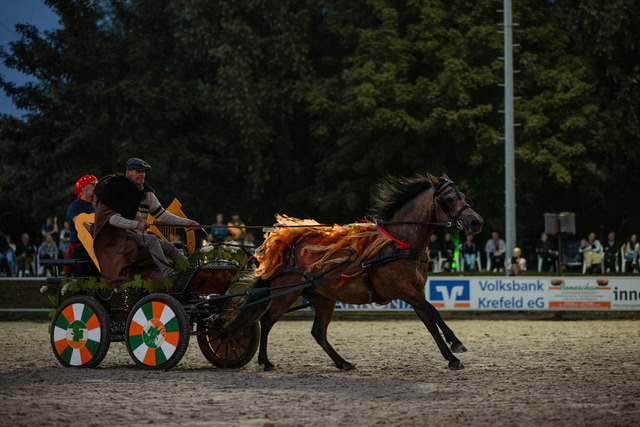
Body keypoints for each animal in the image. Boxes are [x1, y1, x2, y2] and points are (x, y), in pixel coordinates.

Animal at [224, 173, 483, 371]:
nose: (476, 222)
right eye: (449, 198)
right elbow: (434, 313)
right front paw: (456, 343)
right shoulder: (403, 289)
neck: (398, 244)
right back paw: (265, 361)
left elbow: (430, 321)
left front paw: (451, 357)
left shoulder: (415, 291)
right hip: (286, 293)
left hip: (322, 298)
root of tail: (284, 247)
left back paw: (342, 363)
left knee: (318, 332)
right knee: (267, 320)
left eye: (464, 196)